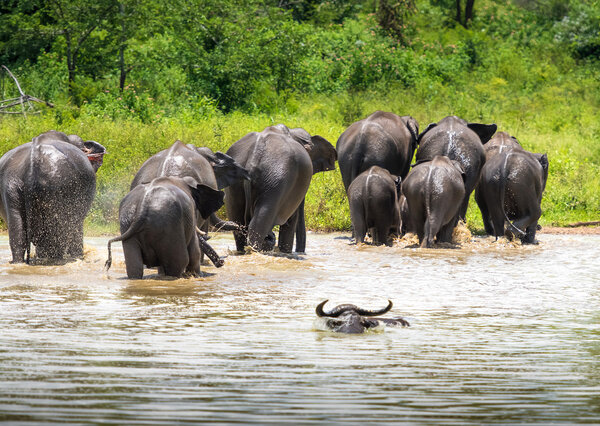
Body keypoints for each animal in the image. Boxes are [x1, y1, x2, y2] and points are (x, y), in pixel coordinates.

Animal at [0, 130, 105, 262]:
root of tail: (33, 163)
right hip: (57, 187)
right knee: (57, 235)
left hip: (12, 186)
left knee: (19, 236)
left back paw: (19, 262)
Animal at [225, 125, 338, 255]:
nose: (300, 252)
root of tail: (252, 161)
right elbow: (292, 220)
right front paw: (286, 253)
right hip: (276, 182)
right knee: (257, 225)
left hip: (234, 184)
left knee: (238, 224)